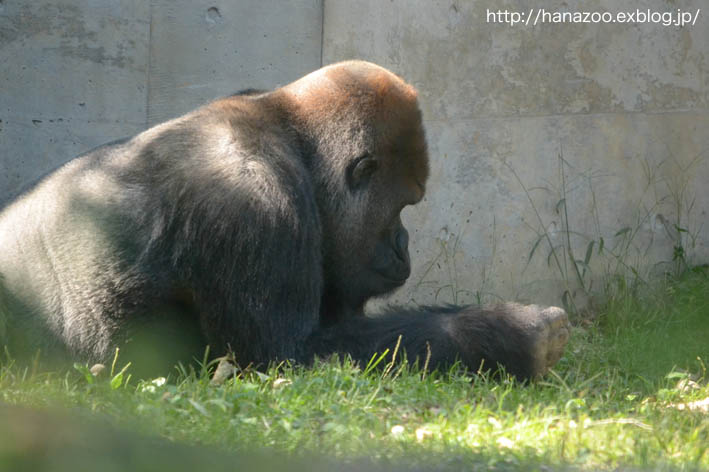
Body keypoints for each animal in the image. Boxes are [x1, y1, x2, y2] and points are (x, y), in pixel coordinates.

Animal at [0, 61, 568, 380]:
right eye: (404, 206)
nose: (405, 244)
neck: (293, 138)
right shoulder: (254, 204)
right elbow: (288, 356)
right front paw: (504, 331)